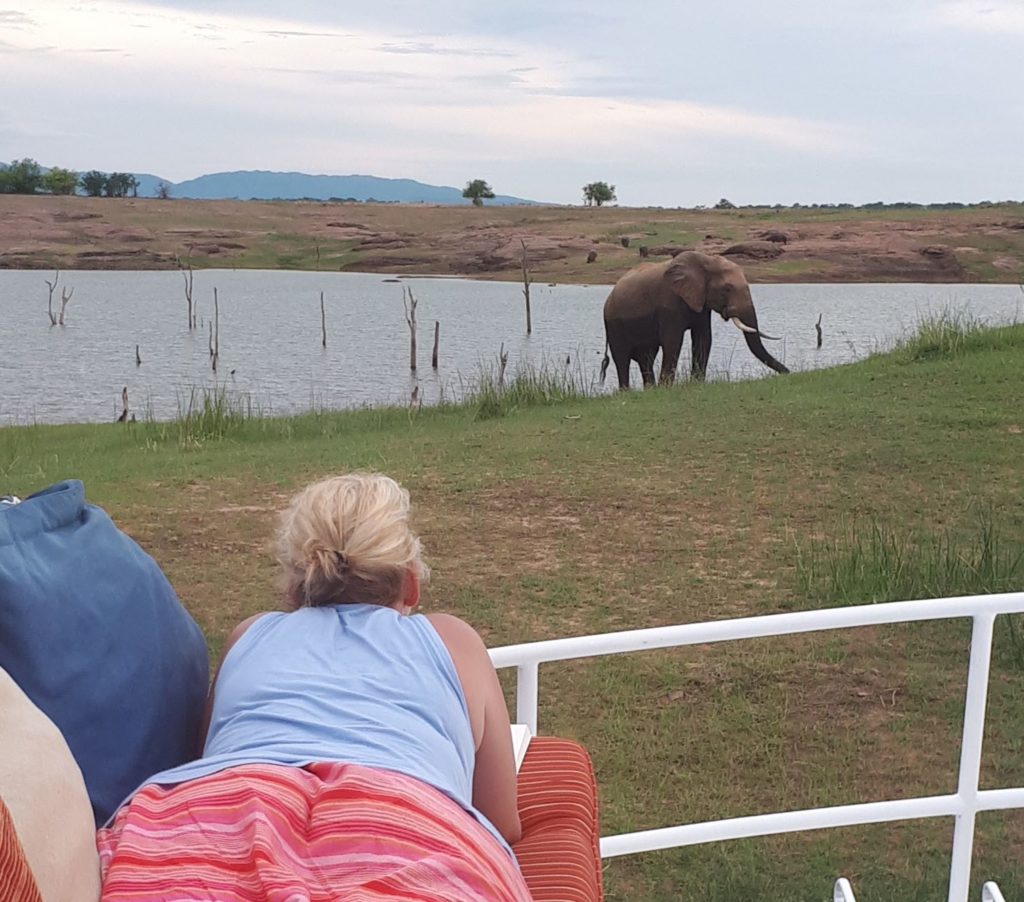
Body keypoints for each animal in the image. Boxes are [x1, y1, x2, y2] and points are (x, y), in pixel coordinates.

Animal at [598, 249, 790, 387]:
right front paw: (666, 387)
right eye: (727, 289)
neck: (706, 261)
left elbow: (703, 339)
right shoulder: (669, 301)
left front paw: (696, 383)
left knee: (646, 357)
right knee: (622, 359)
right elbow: (673, 341)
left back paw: (650, 389)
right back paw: (627, 391)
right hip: (613, 322)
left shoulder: (701, 303)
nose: (789, 373)